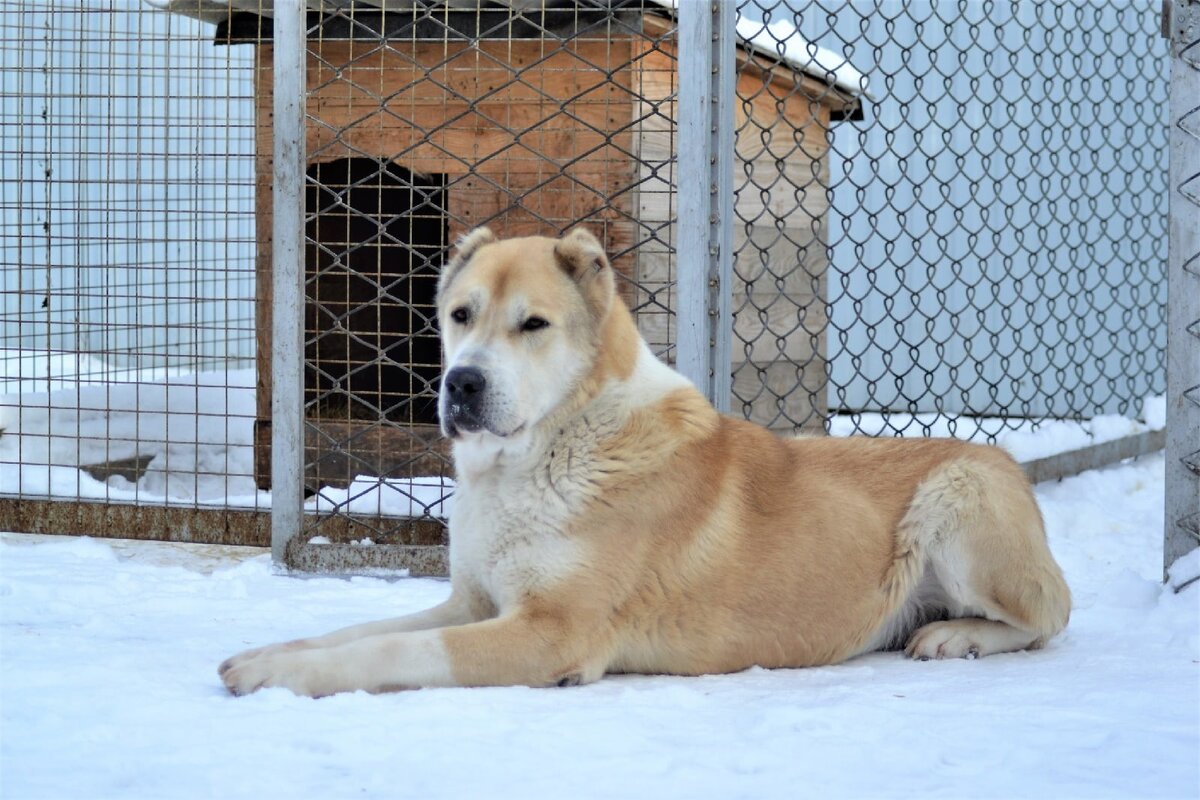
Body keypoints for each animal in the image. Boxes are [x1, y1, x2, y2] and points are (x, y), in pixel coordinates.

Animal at [220, 227, 1075, 695]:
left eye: (533, 324)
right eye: (459, 314)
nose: (462, 382)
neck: (550, 449)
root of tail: (1002, 461)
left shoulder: (549, 632)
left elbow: (394, 649)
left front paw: (275, 679)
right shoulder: (472, 603)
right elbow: (358, 630)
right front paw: (267, 654)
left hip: (959, 499)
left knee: (1051, 618)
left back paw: (956, 637)